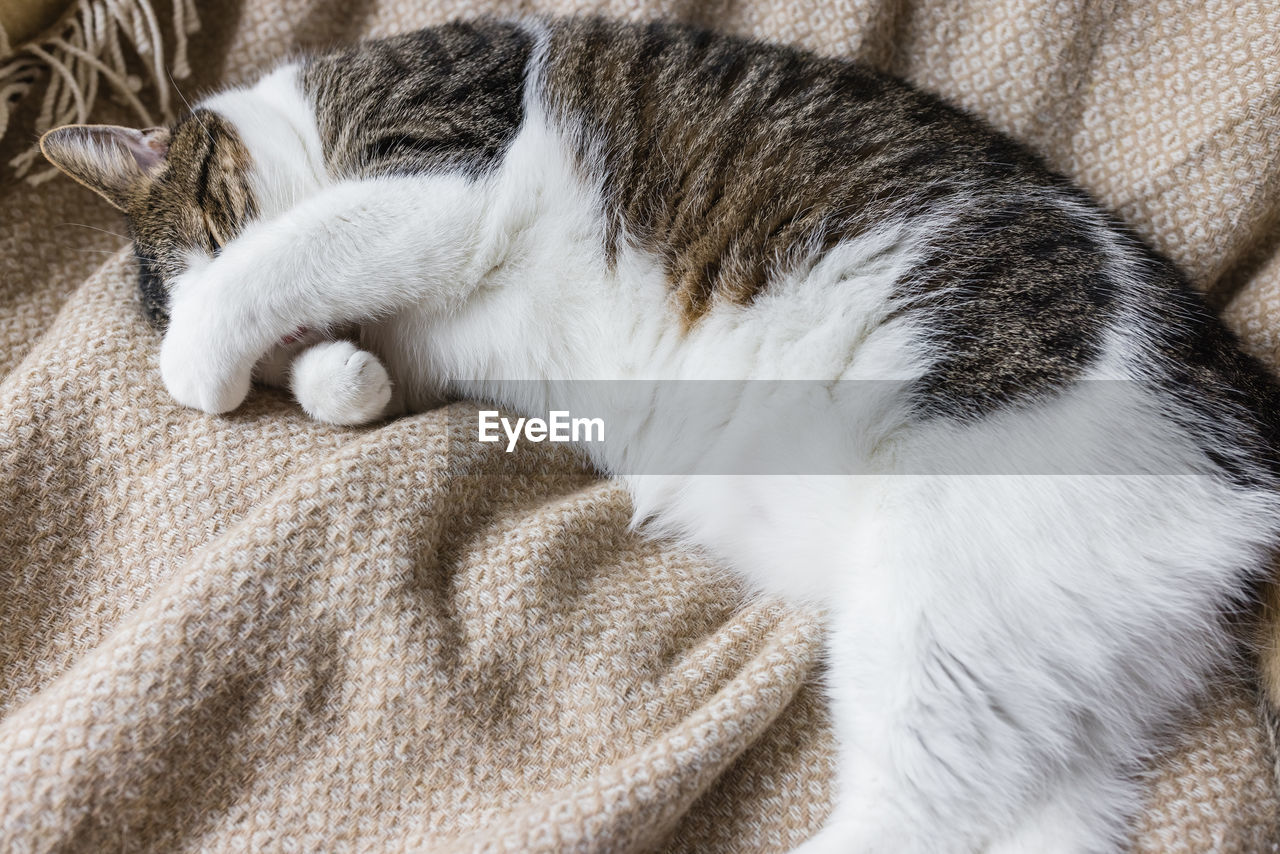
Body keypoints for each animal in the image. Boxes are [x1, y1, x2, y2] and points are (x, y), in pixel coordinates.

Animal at [40, 15, 1280, 854]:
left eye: (215, 223)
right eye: (279, 364)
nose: (286, 356)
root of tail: (1245, 442)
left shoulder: (439, 178)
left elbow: (292, 249)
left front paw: (195, 352)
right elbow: (353, 371)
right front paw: (328, 377)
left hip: (948, 595)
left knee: (911, 815)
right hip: (1042, 675)